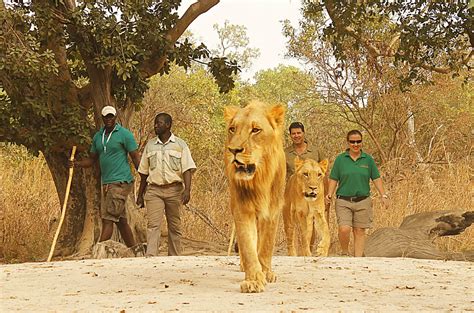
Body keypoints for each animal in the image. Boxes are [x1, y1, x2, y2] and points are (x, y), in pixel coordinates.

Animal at [223, 100, 286, 292]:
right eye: (232, 129)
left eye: (255, 130)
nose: (233, 150)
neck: (259, 179)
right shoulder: (242, 208)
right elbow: (247, 244)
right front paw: (253, 280)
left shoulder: (272, 210)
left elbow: (266, 245)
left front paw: (266, 273)